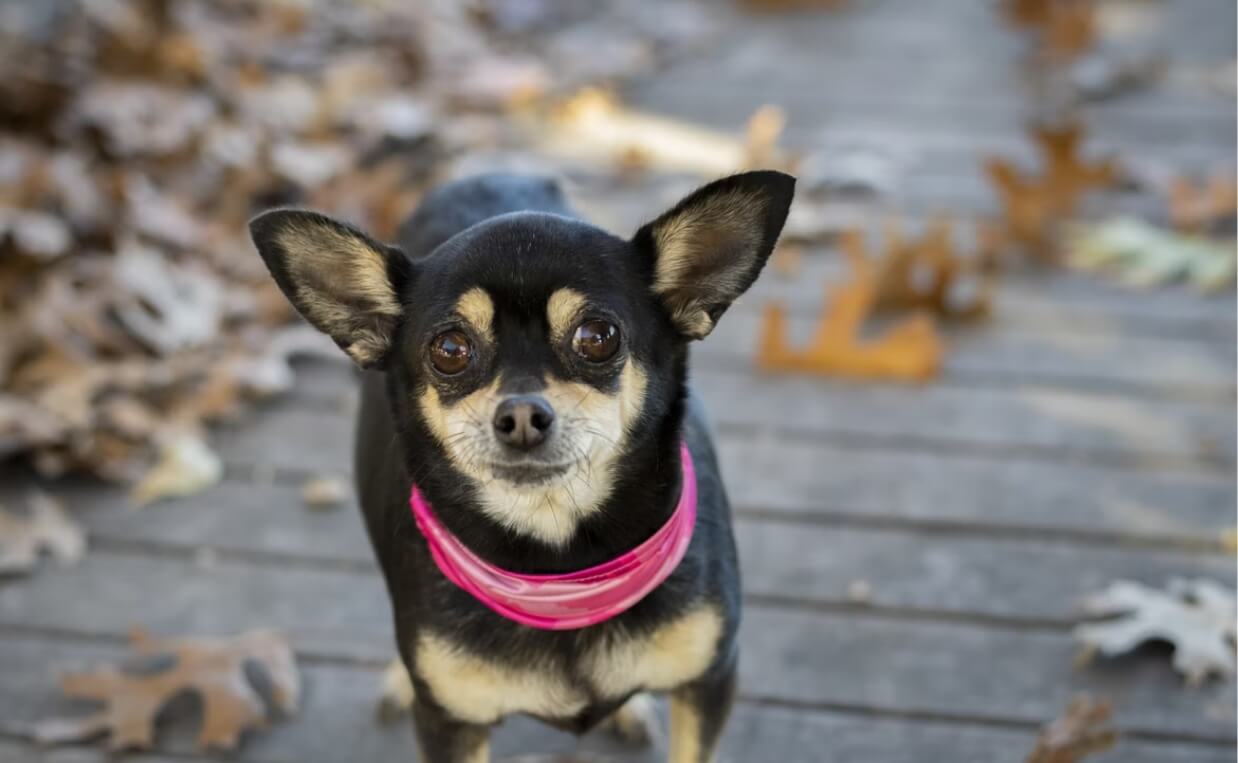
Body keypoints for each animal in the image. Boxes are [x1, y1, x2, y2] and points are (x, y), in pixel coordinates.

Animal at [247, 169, 797, 758]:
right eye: (449, 349)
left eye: (598, 337)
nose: (522, 416)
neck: (561, 576)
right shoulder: (449, 727)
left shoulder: (709, 682)